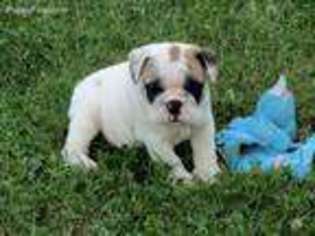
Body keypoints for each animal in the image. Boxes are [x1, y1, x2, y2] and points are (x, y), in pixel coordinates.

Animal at [61, 42, 220, 183]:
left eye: (193, 87)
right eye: (154, 88)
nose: (174, 103)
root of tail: (80, 85)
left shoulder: (203, 126)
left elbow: (205, 151)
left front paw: (207, 174)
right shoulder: (156, 141)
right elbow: (173, 160)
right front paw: (183, 178)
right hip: (86, 118)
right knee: (73, 145)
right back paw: (83, 163)